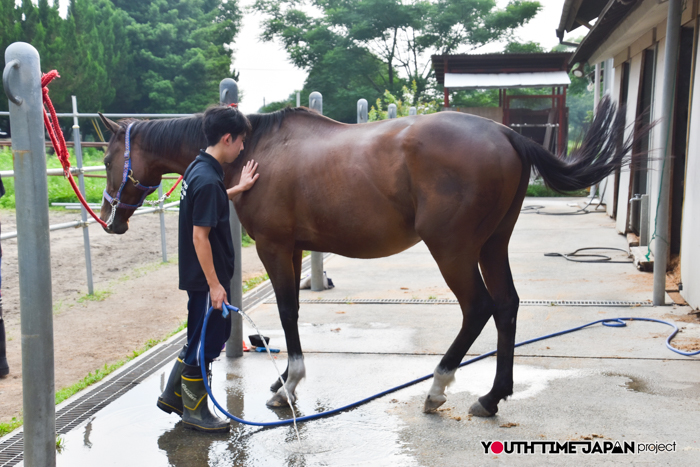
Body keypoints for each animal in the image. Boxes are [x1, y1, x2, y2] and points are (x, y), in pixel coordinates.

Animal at [98, 97, 630, 417]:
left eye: (105, 158)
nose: (110, 219)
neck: (258, 150)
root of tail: (506, 134)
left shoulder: (275, 247)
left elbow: (287, 311)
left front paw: (288, 386)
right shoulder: (293, 249)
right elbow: (292, 312)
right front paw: (282, 381)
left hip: (454, 250)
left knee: (478, 307)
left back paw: (438, 387)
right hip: (492, 245)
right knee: (506, 307)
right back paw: (492, 397)